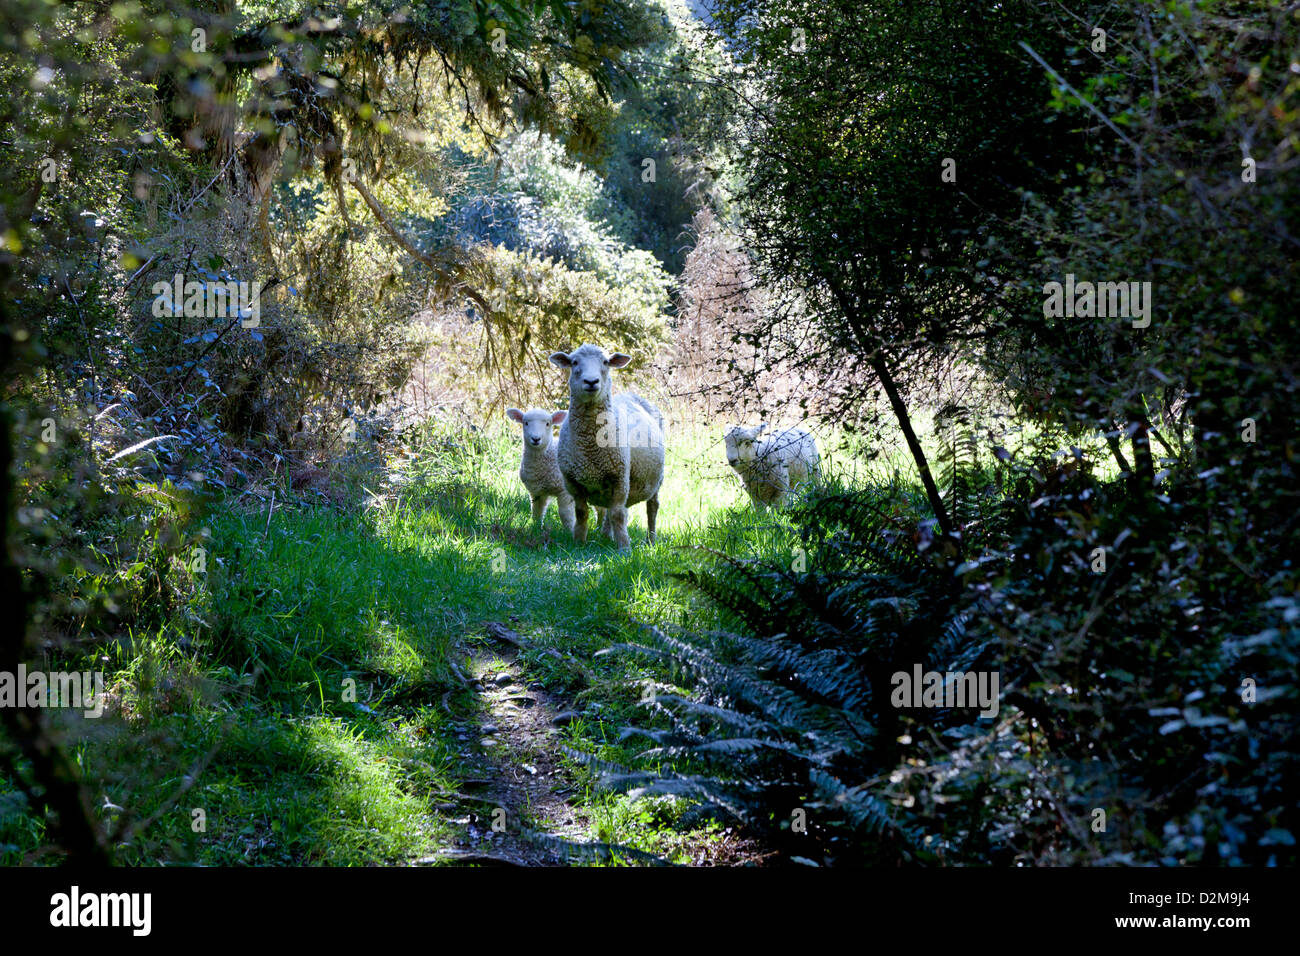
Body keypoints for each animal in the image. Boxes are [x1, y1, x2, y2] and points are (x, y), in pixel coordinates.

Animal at [548, 345, 665, 554]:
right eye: (574, 362)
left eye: (605, 362)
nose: (591, 381)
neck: (590, 444)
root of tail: (630, 394)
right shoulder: (573, 482)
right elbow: (582, 513)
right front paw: (579, 543)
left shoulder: (619, 477)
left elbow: (618, 514)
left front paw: (624, 550)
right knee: (611, 511)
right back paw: (606, 536)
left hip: (656, 479)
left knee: (652, 507)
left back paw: (651, 541)